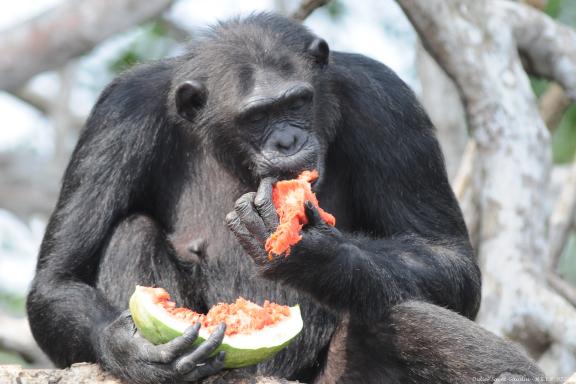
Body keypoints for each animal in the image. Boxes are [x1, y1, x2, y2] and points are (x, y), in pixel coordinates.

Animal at [25, 12, 544, 384]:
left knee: (399, 310)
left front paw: (314, 253)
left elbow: (448, 257)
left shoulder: (387, 104)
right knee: (130, 233)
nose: (288, 141)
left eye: (297, 101)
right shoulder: (118, 118)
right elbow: (58, 279)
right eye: (257, 116)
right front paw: (133, 350)